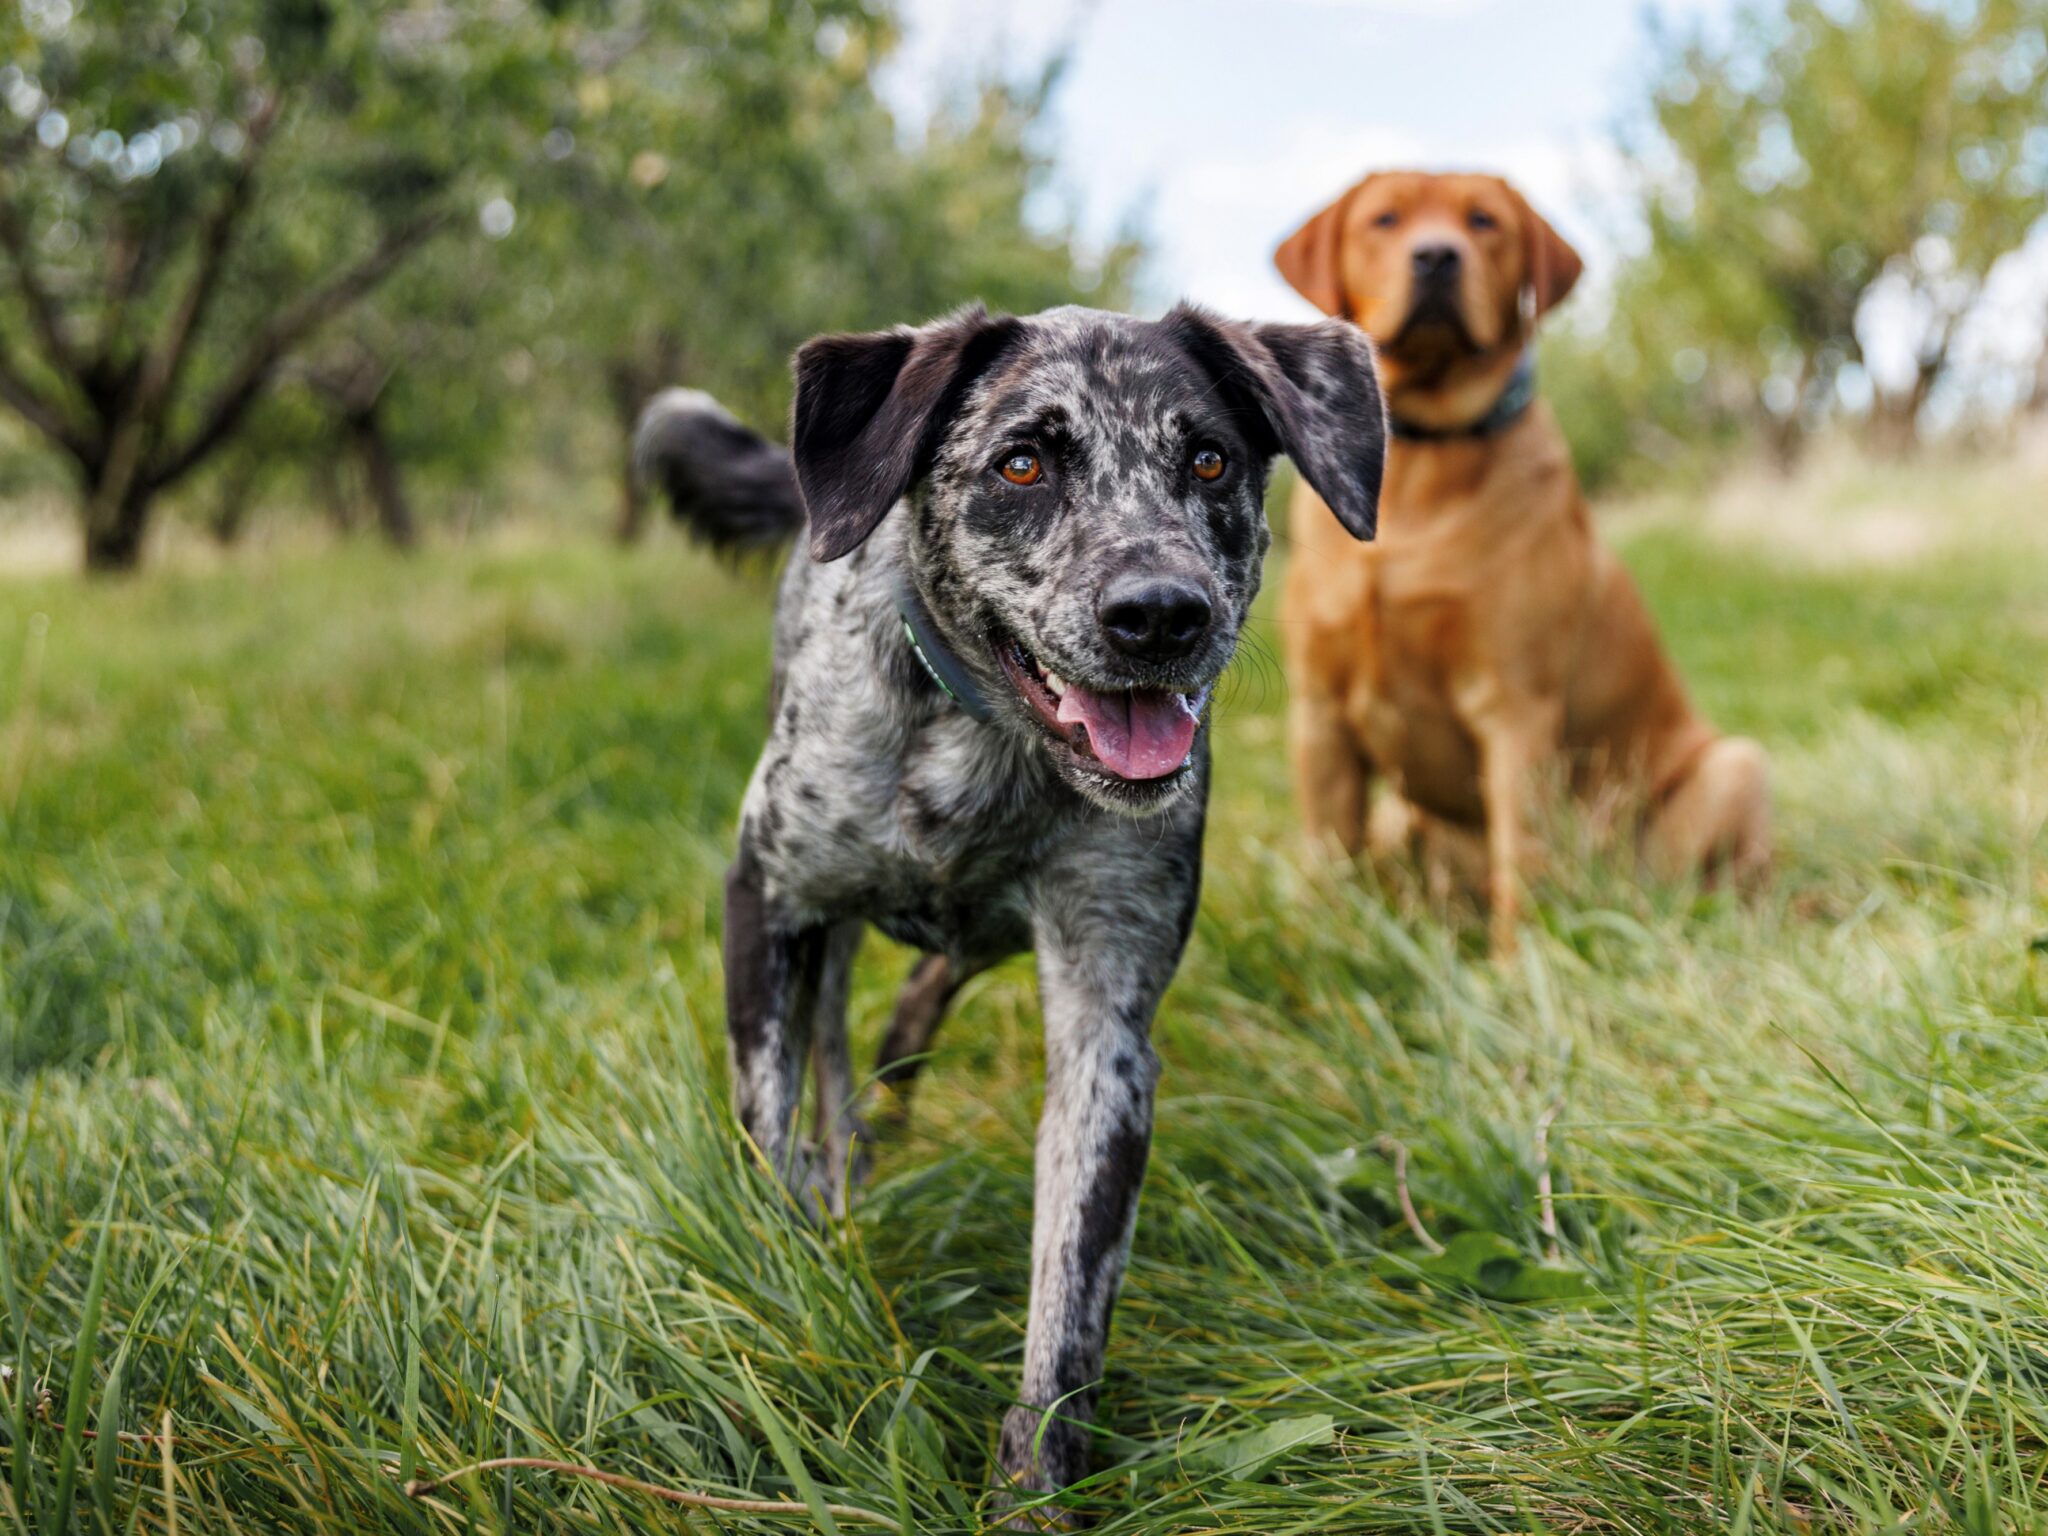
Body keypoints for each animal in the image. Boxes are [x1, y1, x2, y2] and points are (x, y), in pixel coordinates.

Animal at [630, 301, 1384, 1515]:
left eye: (1209, 459)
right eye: (1021, 463)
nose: (1161, 615)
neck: (982, 747)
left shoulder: (1105, 1008)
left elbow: (1069, 1294)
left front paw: (1036, 1488)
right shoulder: (771, 896)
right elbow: (766, 1120)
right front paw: (791, 1265)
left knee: (917, 1002)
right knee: (834, 1039)